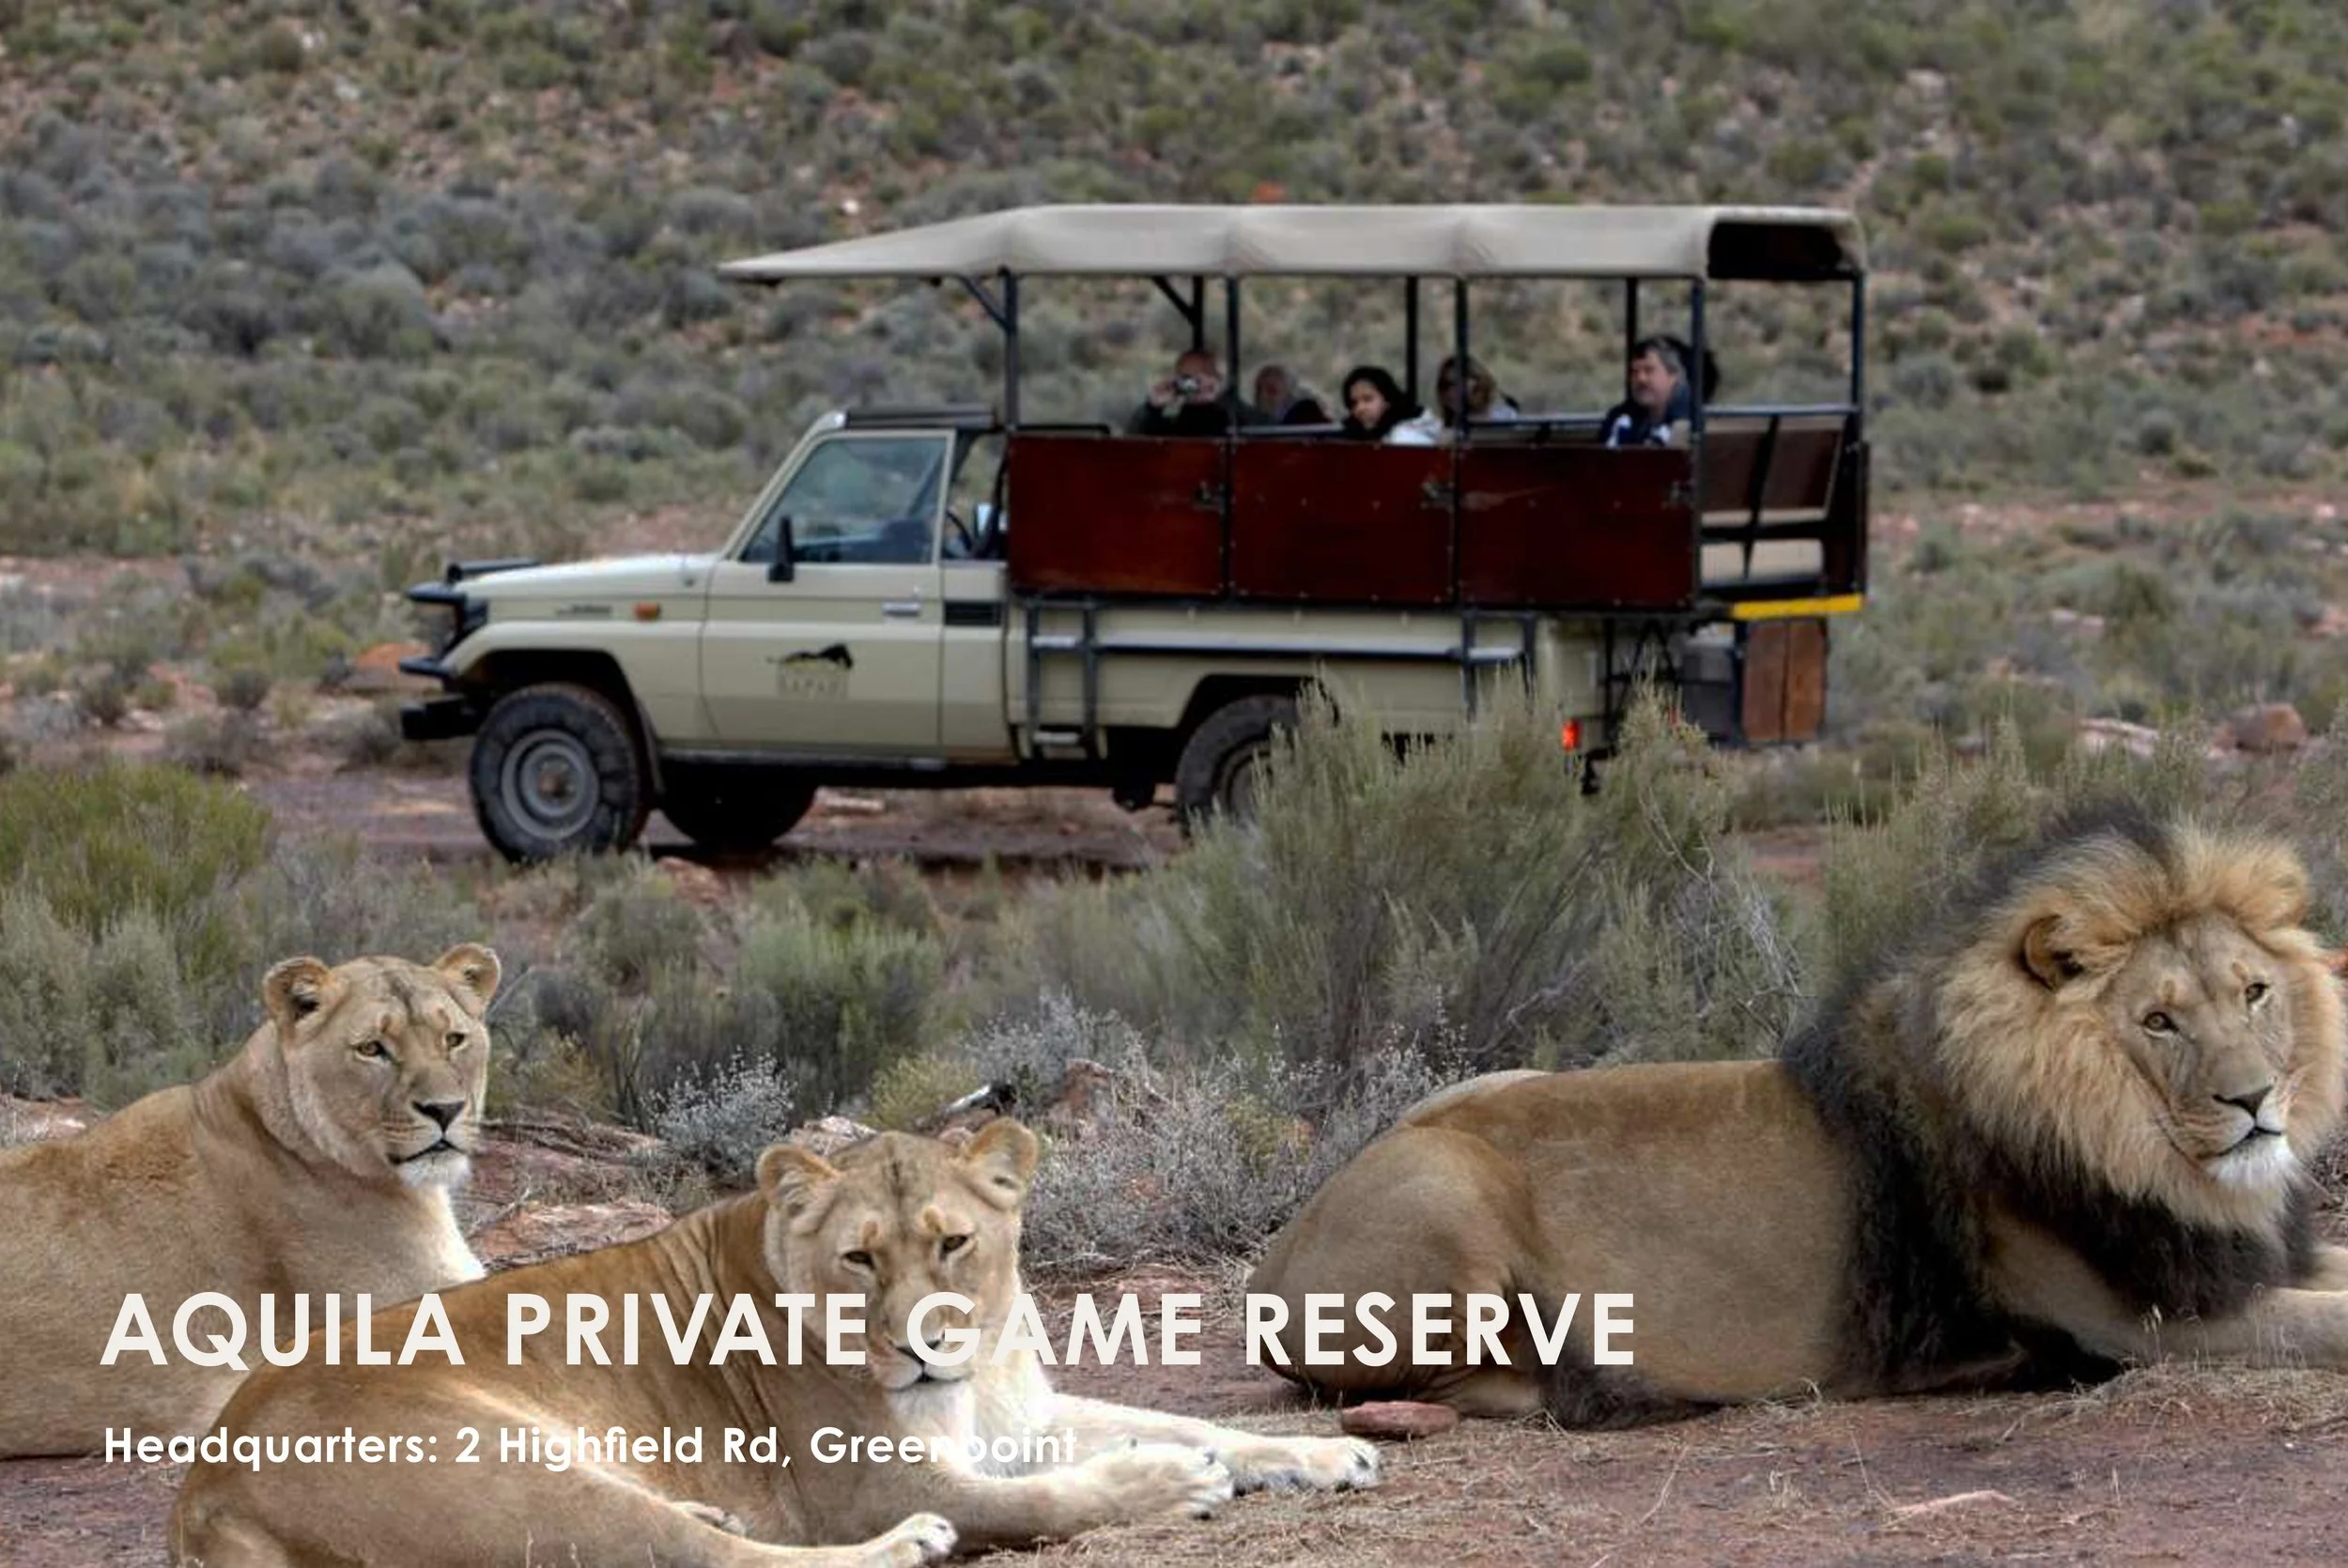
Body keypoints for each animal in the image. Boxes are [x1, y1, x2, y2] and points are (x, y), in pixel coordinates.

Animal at [168, 1117, 1377, 1567]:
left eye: (953, 1240)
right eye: (859, 1258)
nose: (925, 1344)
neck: (974, 1368)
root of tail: (208, 1477)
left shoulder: (1020, 1414)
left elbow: (1176, 1411)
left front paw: (1322, 1452)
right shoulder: (869, 1477)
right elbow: (1048, 1494)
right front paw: (1177, 1479)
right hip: (516, 1473)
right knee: (708, 1561)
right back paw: (903, 1546)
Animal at [1246, 808, 2348, 1425]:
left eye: (2253, 992)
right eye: (2158, 1020)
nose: (2256, 1100)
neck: (2156, 1159)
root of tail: (1273, 1256)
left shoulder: (2244, 1262)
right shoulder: (2141, 1324)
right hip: (1446, 1189)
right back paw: (1602, 1389)